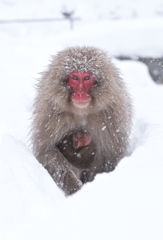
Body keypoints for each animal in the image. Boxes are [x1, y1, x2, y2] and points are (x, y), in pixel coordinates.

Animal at [31, 46, 132, 196]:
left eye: (86, 78)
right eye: (74, 78)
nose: (80, 93)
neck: (82, 111)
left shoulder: (111, 117)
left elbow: (109, 157)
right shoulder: (51, 113)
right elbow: (46, 150)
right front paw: (75, 189)